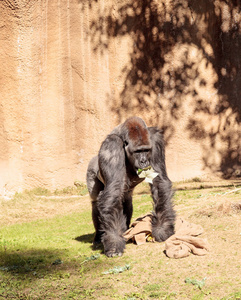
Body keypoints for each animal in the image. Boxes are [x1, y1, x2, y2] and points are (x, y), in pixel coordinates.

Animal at [86, 116, 175, 256]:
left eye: (146, 150)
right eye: (137, 151)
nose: (144, 161)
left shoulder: (156, 141)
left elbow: (159, 181)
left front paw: (163, 227)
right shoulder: (112, 146)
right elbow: (113, 190)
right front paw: (114, 240)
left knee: (126, 199)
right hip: (91, 169)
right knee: (96, 201)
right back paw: (99, 237)